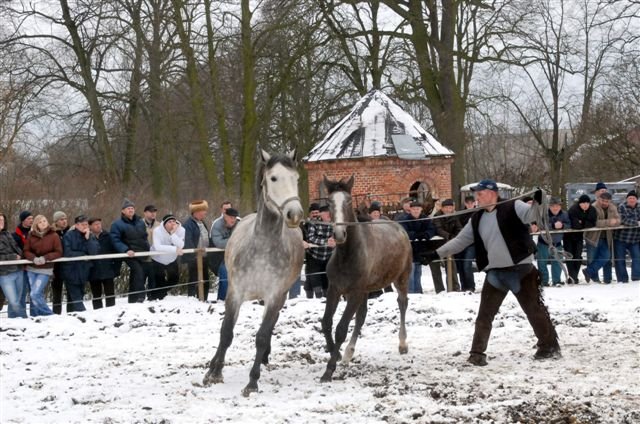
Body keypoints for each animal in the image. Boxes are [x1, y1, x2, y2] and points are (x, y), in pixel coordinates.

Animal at [203, 149, 305, 397]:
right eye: (273, 178)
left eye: (296, 178)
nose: (294, 214)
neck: (262, 250)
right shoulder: (235, 293)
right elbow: (226, 332)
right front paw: (214, 373)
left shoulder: (275, 297)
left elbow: (262, 336)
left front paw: (252, 382)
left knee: (270, 327)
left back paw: (265, 358)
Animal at [320, 175, 413, 382]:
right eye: (329, 202)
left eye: (348, 201)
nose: (339, 234)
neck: (346, 255)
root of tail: (397, 225)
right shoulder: (335, 289)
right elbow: (327, 322)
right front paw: (337, 353)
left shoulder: (354, 292)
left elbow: (341, 328)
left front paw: (328, 370)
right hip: (364, 291)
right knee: (361, 316)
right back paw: (348, 353)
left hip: (401, 278)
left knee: (402, 303)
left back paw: (403, 344)